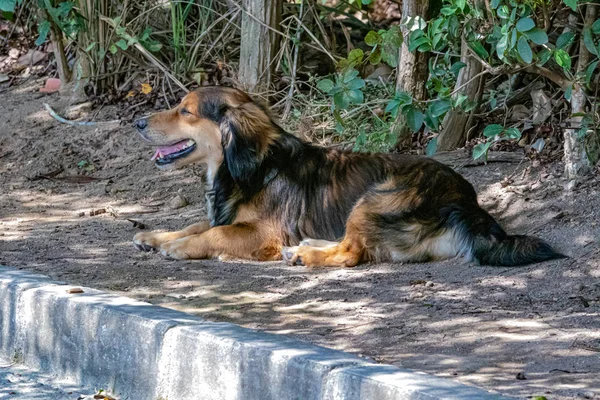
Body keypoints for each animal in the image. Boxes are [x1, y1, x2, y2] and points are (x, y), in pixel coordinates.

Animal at [132, 86, 568, 268]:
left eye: (185, 111)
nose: (137, 122)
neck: (252, 166)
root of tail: (468, 202)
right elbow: (195, 224)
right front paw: (155, 236)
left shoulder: (263, 232)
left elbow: (213, 233)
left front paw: (180, 247)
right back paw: (308, 245)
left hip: (376, 197)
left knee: (352, 253)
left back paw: (306, 254)